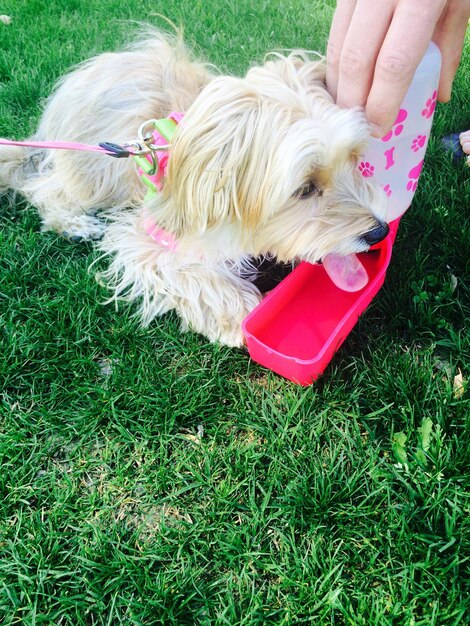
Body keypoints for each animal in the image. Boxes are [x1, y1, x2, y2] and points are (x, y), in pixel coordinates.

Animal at [0, 30, 390, 346]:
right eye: (305, 188)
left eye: (353, 158)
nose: (379, 232)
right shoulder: (156, 229)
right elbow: (181, 267)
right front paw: (236, 313)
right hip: (96, 169)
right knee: (44, 187)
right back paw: (73, 223)